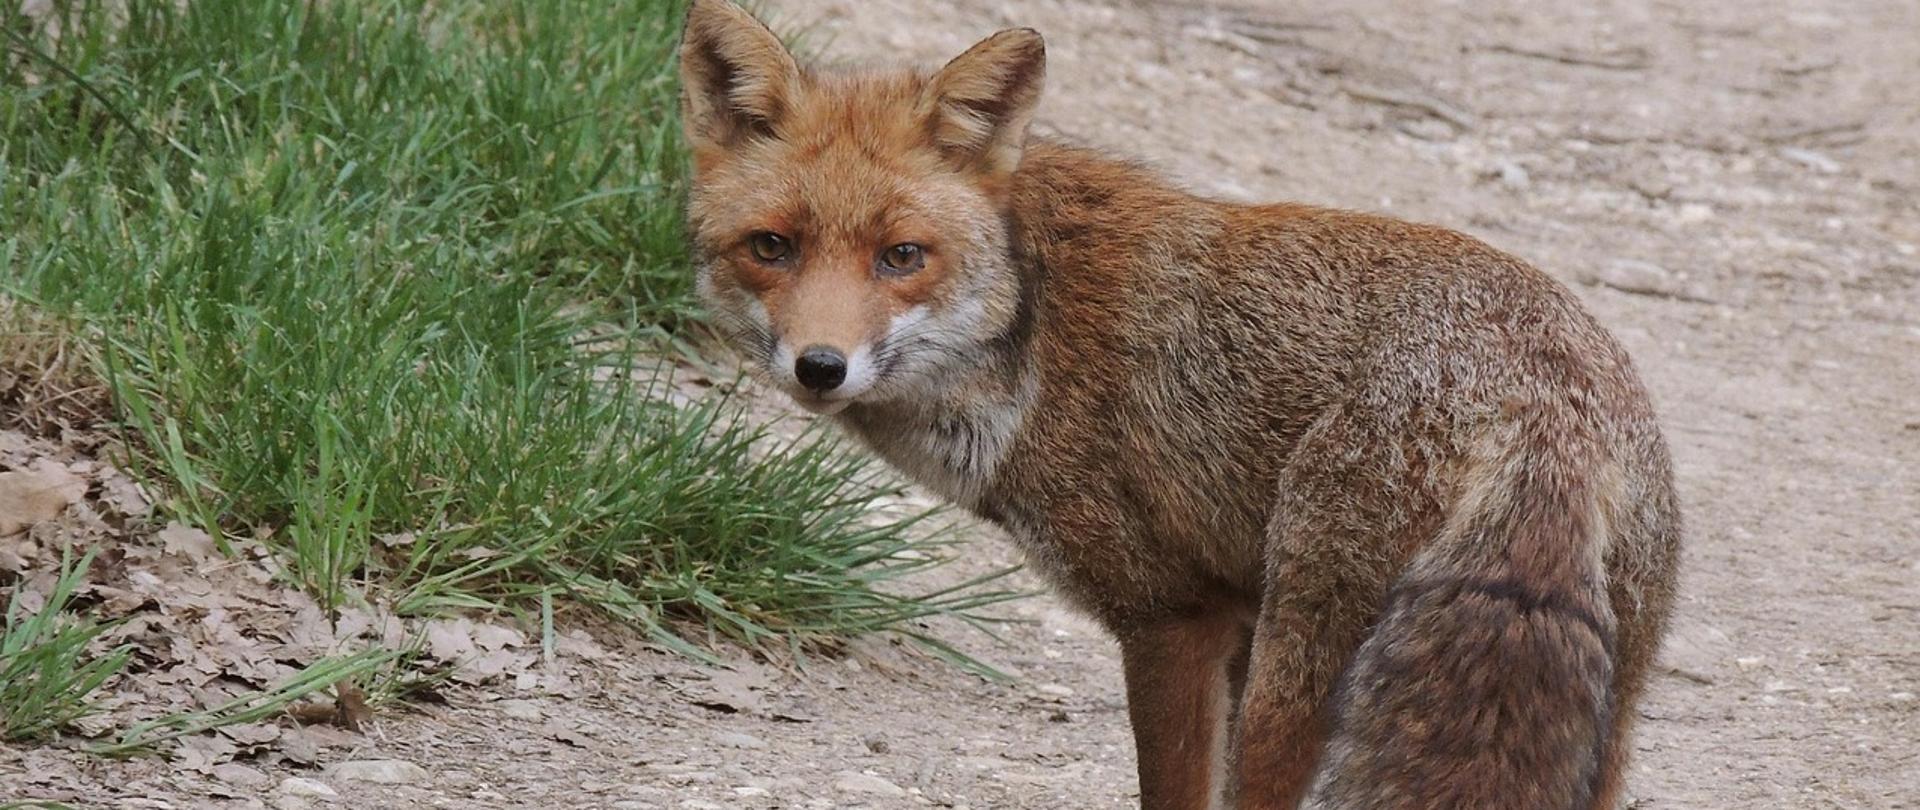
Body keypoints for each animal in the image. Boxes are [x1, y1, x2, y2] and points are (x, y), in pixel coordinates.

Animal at [678, 1, 1682, 808]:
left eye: (902, 256)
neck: (1034, 329)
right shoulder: (1230, 617)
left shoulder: (1172, 618)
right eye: (771, 246)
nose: (820, 367)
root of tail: (1544, 404)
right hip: (1603, 712)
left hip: (1299, 673)